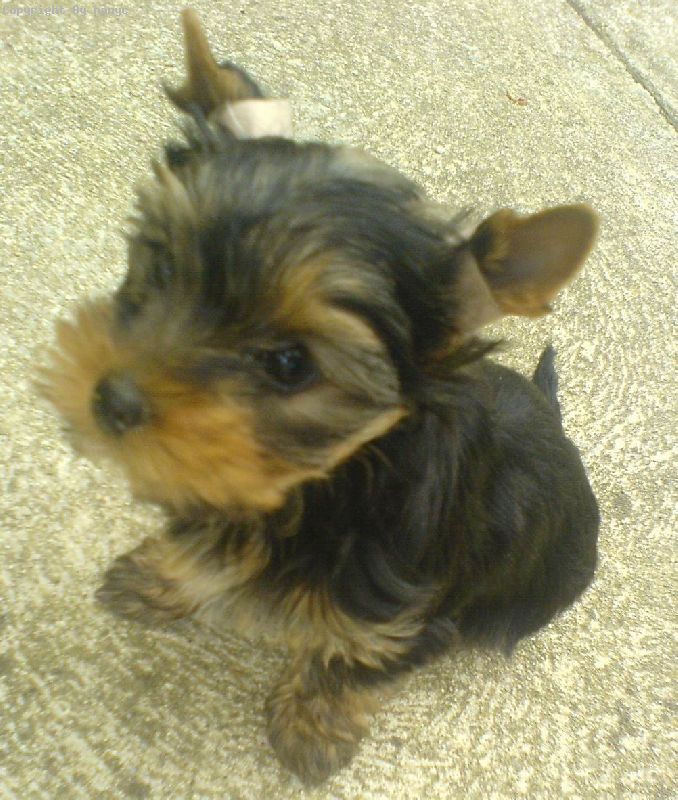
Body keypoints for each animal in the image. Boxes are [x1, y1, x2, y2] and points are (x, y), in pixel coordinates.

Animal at [39, 9, 600, 785]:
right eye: (161, 265)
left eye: (289, 364)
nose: (111, 398)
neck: (328, 483)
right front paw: (164, 577)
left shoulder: (398, 614)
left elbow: (350, 664)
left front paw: (313, 729)